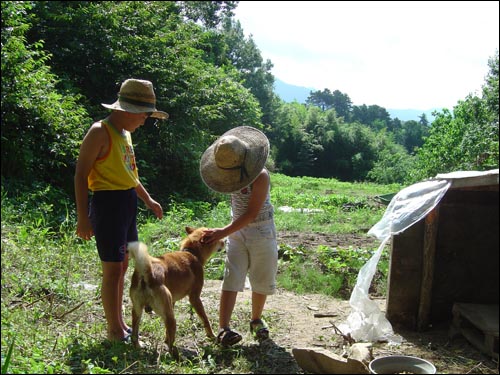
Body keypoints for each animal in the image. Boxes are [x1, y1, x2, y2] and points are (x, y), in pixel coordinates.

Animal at [128, 226, 224, 358]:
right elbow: (205, 319)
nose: (224, 242)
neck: (191, 253)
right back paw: (177, 356)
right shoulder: (194, 298)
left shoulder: (172, 302)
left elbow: (166, 332)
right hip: (171, 318)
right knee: (171, 345)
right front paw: (212, 336)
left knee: (134, 336)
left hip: (138, 311)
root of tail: (147, 273)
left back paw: (138, 348)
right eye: (218, 237)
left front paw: (165, 338)